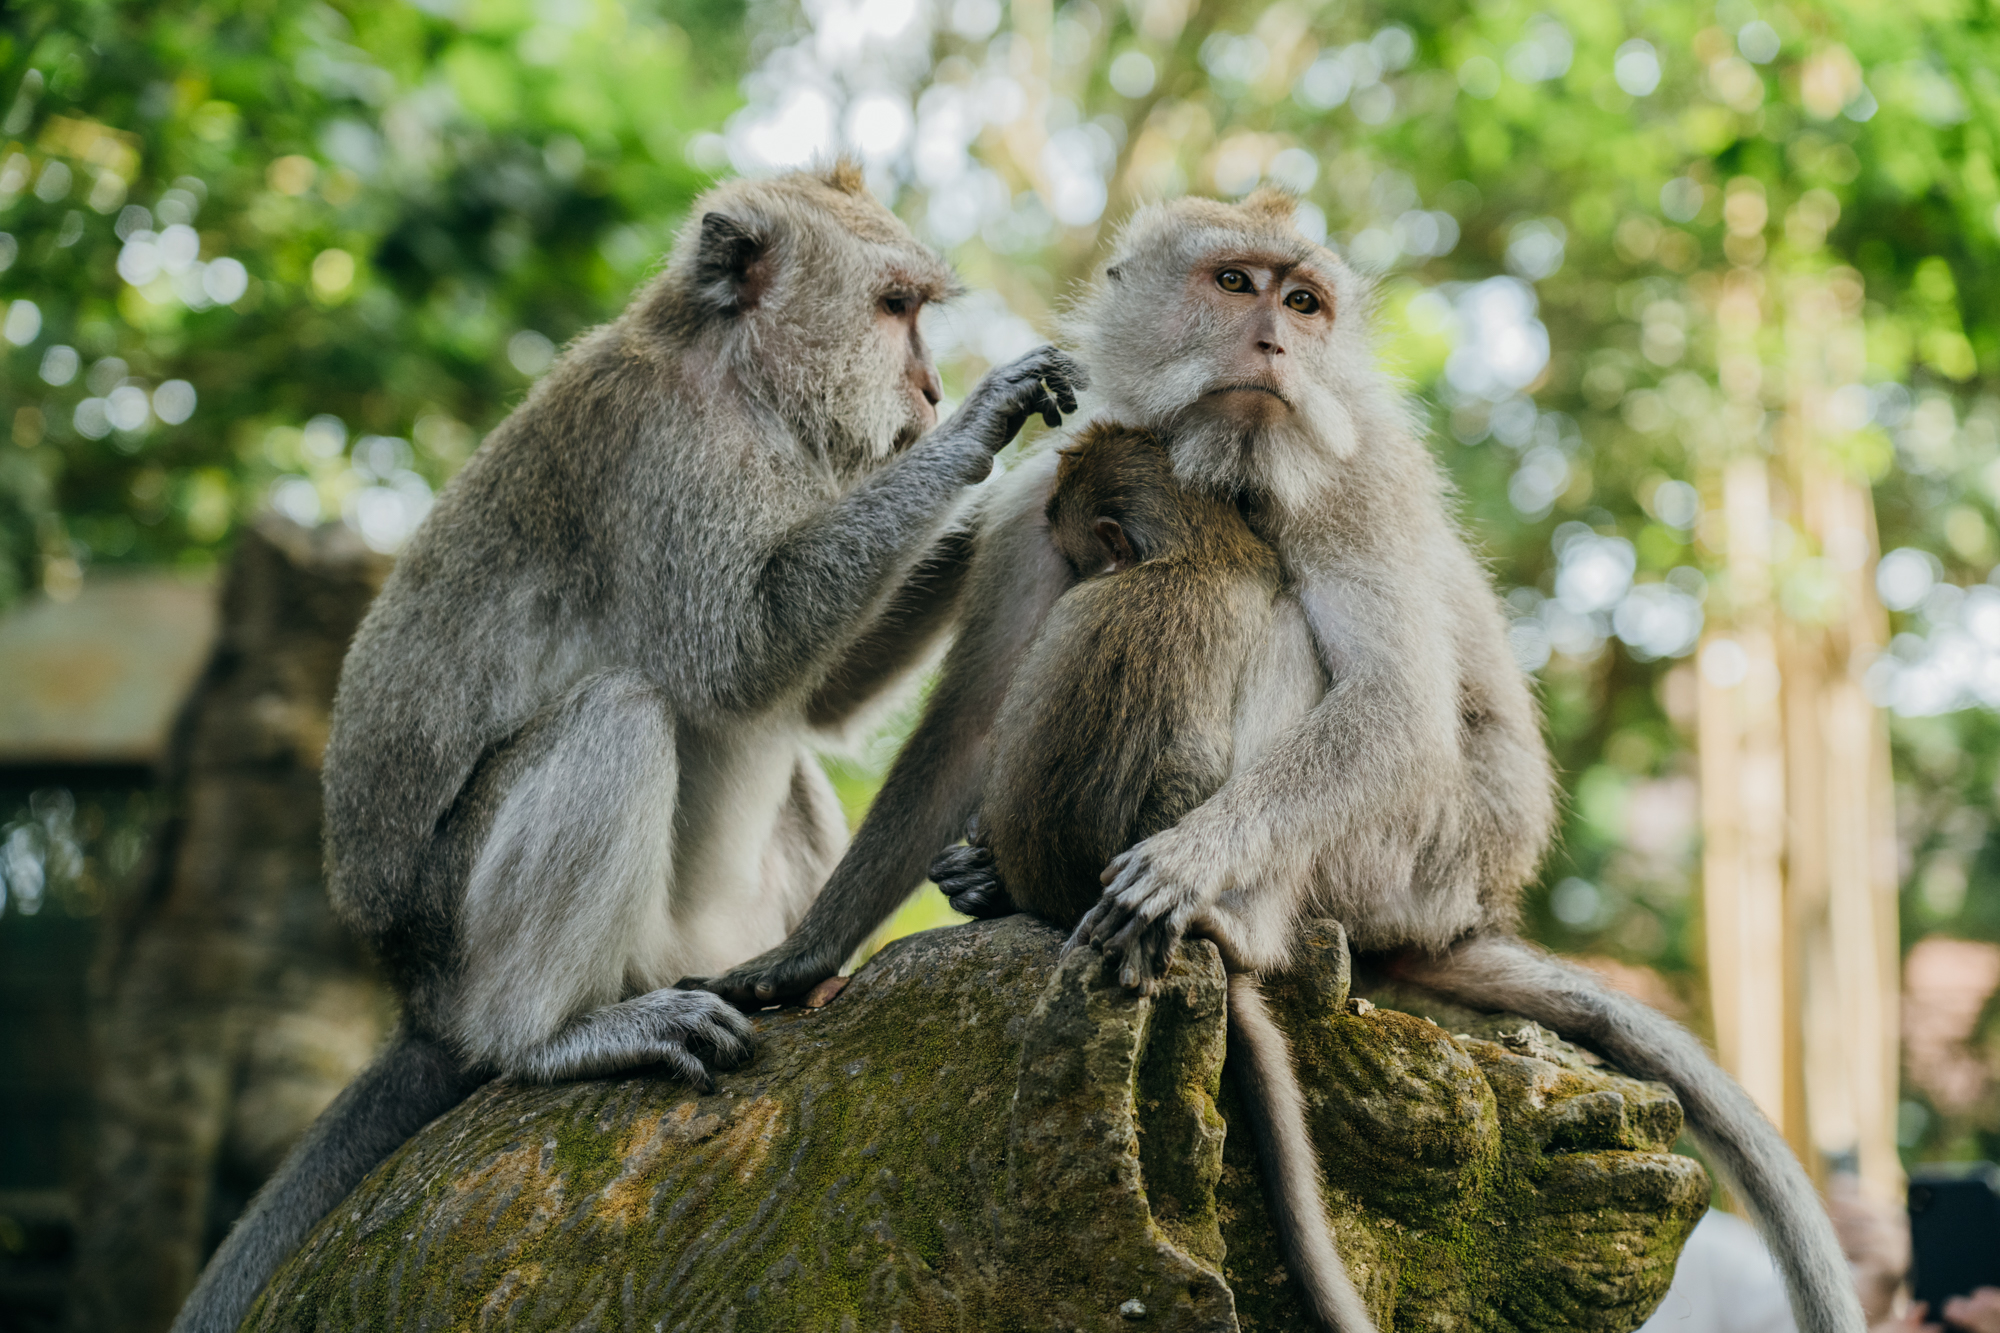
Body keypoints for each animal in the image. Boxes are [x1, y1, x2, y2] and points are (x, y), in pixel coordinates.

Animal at [168, 163, 1080, 1328]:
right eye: (892, 309)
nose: (925, 389)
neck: (745, 389)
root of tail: (414, 998)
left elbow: (819, 701)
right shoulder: (661, 458)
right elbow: (744, 651)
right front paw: (985, 430)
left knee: (788, 769)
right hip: (468, 932)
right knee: (619, 714)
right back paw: (547, 1037)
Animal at [712, 189, 1864, 1328]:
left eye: (1303, 302)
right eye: (1234, 283)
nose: (1273, 339)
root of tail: (1467, 913)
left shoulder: (1356, 477)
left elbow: (1392, 702)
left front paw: (1181, 865)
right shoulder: (1035, 489)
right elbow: (970, 717)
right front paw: (796, 959)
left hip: (1409, 858)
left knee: (1294, 646)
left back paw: (1230, 921)